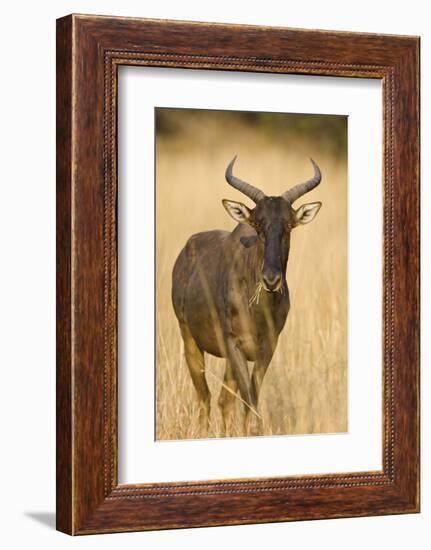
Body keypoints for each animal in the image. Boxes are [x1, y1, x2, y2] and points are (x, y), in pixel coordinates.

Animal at [170, 156, 322, 436]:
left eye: (288, 226)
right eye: (258, 225)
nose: (271, 280)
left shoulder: (268, 346)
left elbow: (251, 395)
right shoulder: (233, 344)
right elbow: (248, 398)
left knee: (223, 400)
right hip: (189, 339)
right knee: (205, 397)